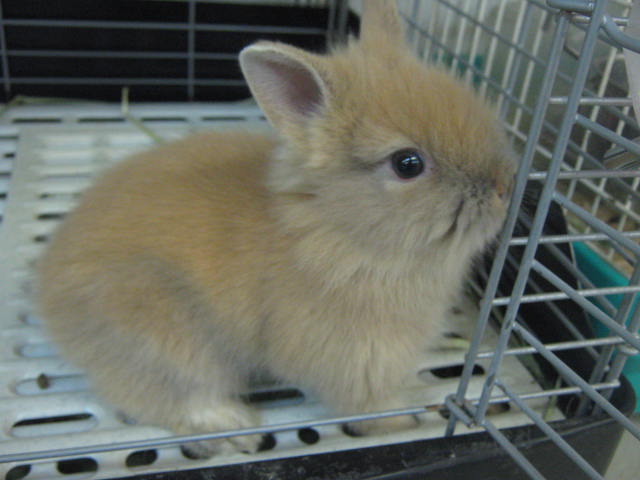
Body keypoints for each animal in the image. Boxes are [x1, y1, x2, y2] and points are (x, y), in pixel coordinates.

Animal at [36, 0, 516, 458]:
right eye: (407, 164)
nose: (503, 189)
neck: (334, 228)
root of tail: (47, 295)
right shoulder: (355, 361)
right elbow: (370, 406)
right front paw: (401, 425)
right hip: (161, 332)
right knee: (160, 393)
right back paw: (231, 430)